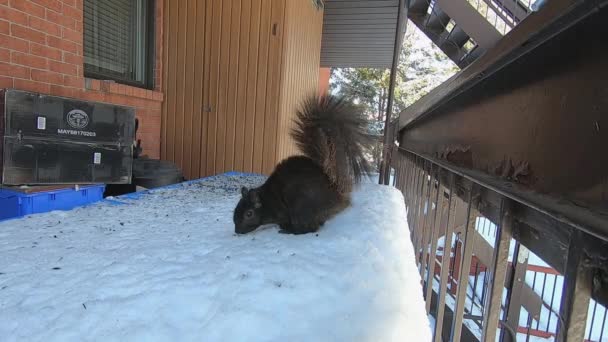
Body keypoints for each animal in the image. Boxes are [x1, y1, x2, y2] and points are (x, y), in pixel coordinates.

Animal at [233, 95, 370, 236]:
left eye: (249, 214)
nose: (237, 231)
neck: (267, 200)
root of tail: (337, 193)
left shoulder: (281, 211)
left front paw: (284, 227)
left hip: (300, 205)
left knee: (310, 228)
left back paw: (290, 231)